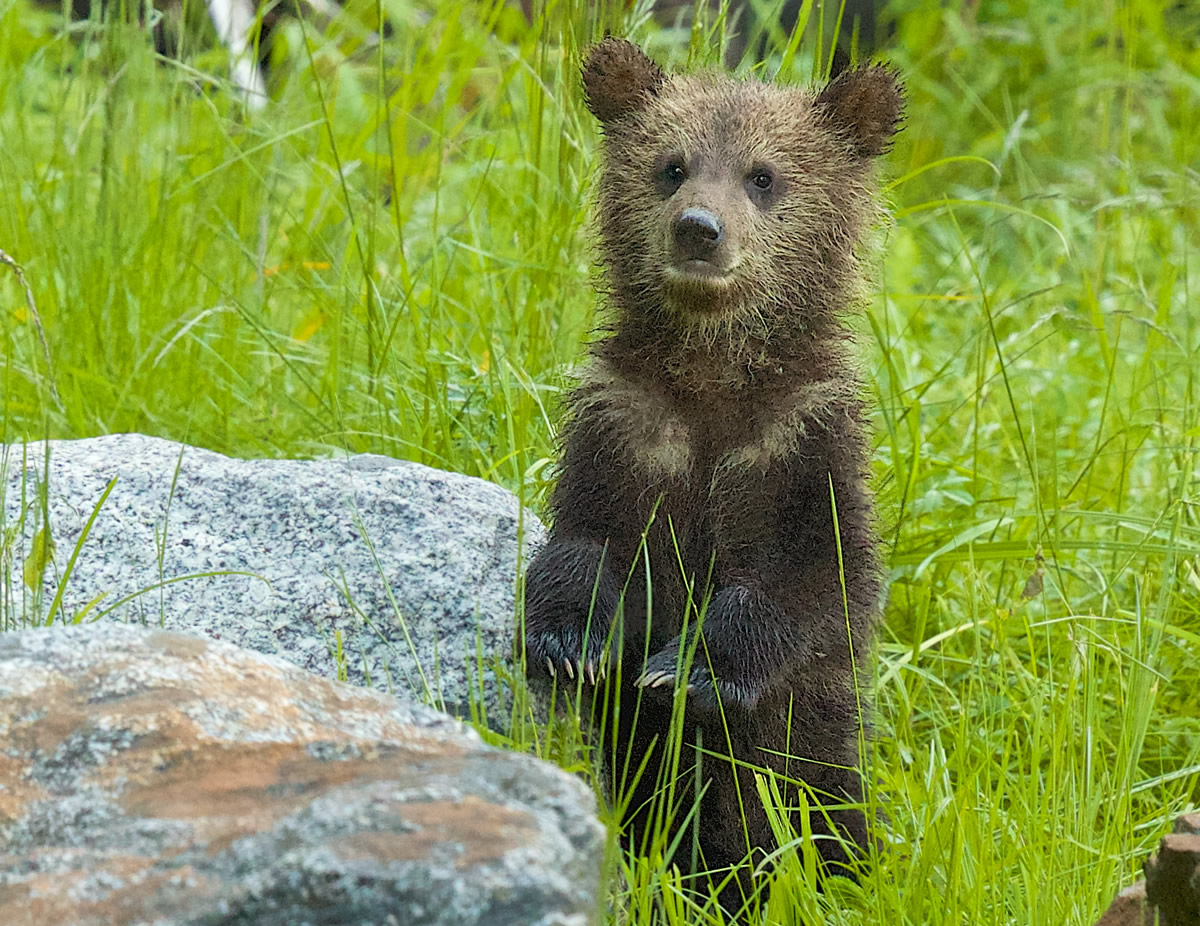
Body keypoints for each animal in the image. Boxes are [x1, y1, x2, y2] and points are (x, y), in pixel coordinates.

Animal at [520, 37, 902, 916]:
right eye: (672, 165)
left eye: (763, 175)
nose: (699, 229)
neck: (711, 379)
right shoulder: (628, 426)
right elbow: (587, 543)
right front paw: (573, 641)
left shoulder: (797, 442)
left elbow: (810, 578)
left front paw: (688, 667)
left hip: (820, 761)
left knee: (816, 813)